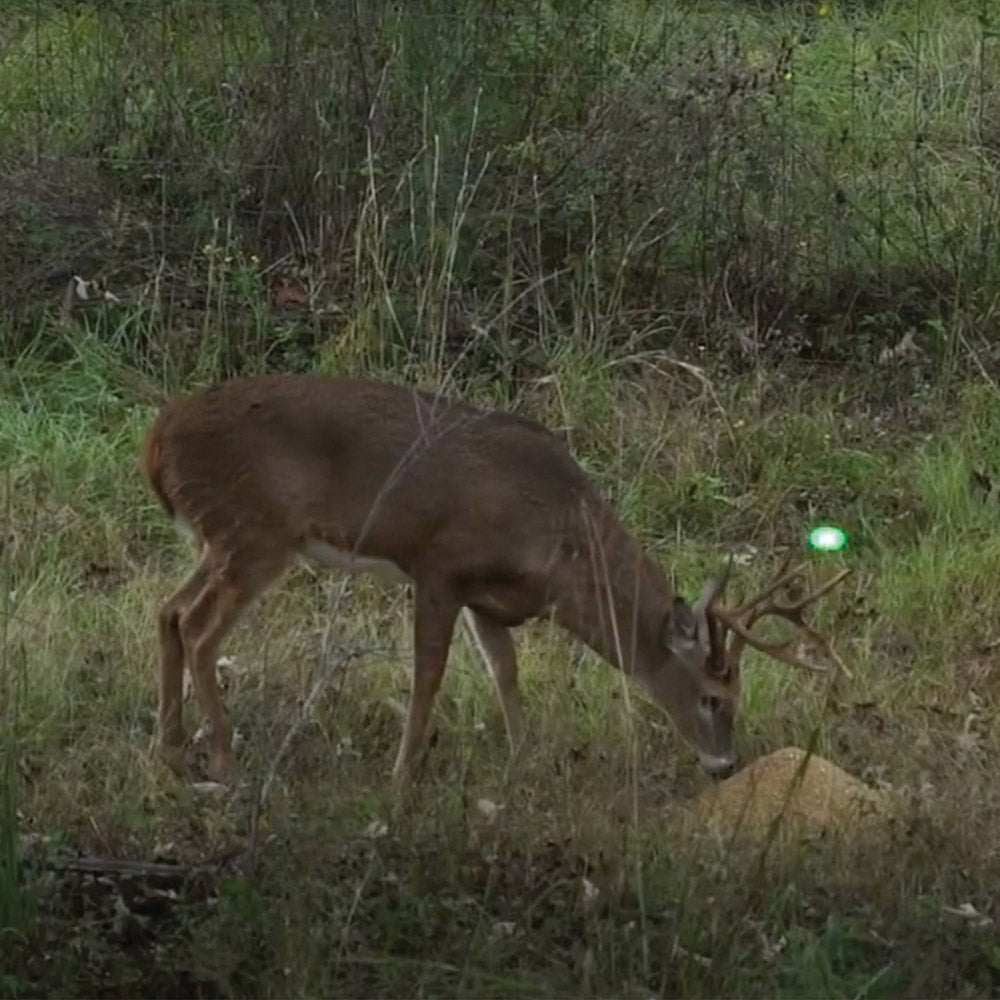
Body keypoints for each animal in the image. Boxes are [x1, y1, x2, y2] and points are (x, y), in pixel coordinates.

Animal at [142, 374, 851, 786]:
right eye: (713, 698)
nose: (725, 767)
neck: (559, 541)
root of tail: (157, 438)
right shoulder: (438, 565)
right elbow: (429, 674)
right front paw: (403, 775)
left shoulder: (493, 601)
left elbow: (505, 672)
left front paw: (523, 761)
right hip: (256, 531)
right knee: (200, 629)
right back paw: (223, 761)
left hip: (220, 538)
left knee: (168, 612)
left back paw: (172, 750)